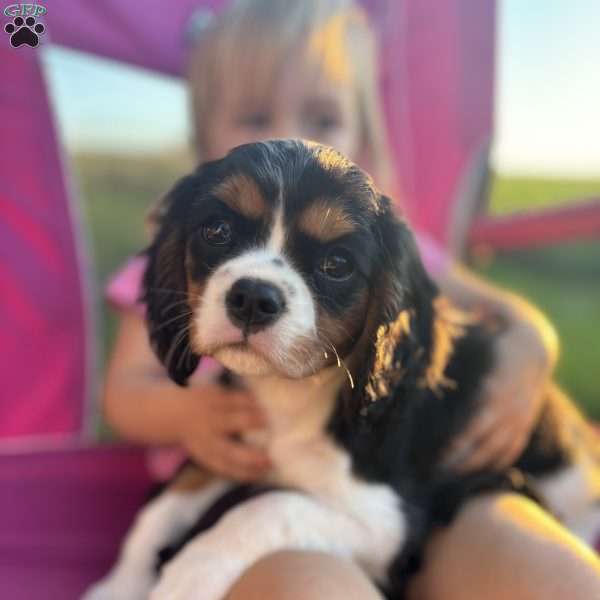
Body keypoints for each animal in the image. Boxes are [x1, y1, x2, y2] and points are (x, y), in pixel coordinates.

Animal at [86, 141, 600, 600]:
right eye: (216, 231)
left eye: (337, 264)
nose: (252, 297)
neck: (291, 395)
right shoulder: (229, 446)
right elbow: (163, 505)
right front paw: (118, 586)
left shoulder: (388, 521)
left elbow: (273, 505)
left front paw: (190, 575)